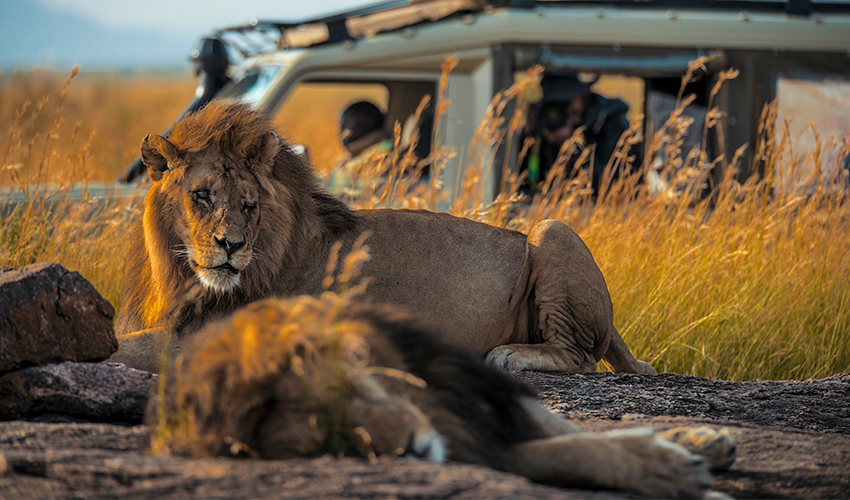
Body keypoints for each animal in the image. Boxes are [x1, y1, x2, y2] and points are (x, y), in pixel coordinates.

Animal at [111, 100, 656, 376]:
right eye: (201, 196)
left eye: (248, 204)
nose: (232, 245)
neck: (177, 273)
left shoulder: (219, 333)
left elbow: (125, 349)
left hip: (553, 229)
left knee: (581, 356)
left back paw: (509, 355)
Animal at [149, 294, 732, 498]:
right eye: (331, 444)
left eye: (351, 391)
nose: (409, 449)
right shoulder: (476, 444)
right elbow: (577, 452)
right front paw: (668, 471)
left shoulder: (476, 397)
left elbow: (577, 434)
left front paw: (679, 459)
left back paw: (705, 439)